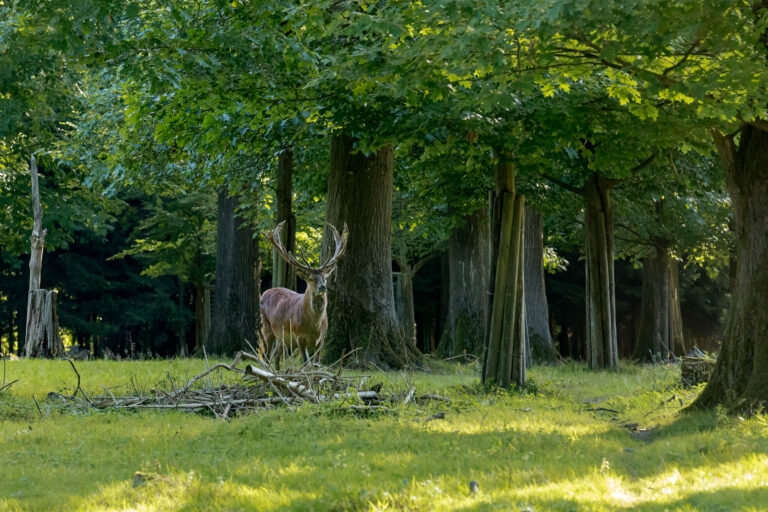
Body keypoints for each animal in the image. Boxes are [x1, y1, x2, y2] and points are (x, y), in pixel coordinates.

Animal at [260, 222, 352, 366]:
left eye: (324, 278)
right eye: (311, 279)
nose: (323, 287)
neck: (313, 326)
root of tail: (264, 292)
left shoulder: (322, 338)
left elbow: (316, 363)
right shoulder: (299, 336)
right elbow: (304, 362)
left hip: (283, 337)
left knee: (276, 355)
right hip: (266, 327)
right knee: (267, 355)